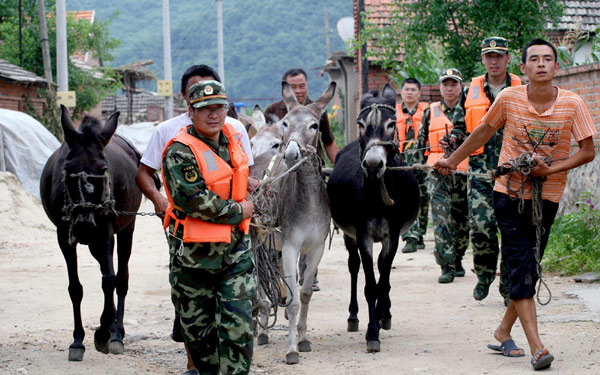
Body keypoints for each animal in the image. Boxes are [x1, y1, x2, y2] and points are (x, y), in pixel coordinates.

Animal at [40, 105, 146, 362]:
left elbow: (109, 280)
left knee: (121, 278)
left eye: (103, 169)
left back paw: (116, 334)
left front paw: (102, 334)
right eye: (67, 168)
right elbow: (75, 288)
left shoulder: (106, 232)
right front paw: (78, 341)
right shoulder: (64, 235)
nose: (85, 225)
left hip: (126, 230)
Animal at [326, 83, 420, 354]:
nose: (373, 164)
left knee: (381, 270)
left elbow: (383, 281)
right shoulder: (363, 236)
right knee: (354, 267)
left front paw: (380, 318)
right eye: (360, 124)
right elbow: (370, 286)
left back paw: (384, 314)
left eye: (392, 124)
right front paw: (372, 333)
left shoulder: (393, 236)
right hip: (349, 236)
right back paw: (354, 317)